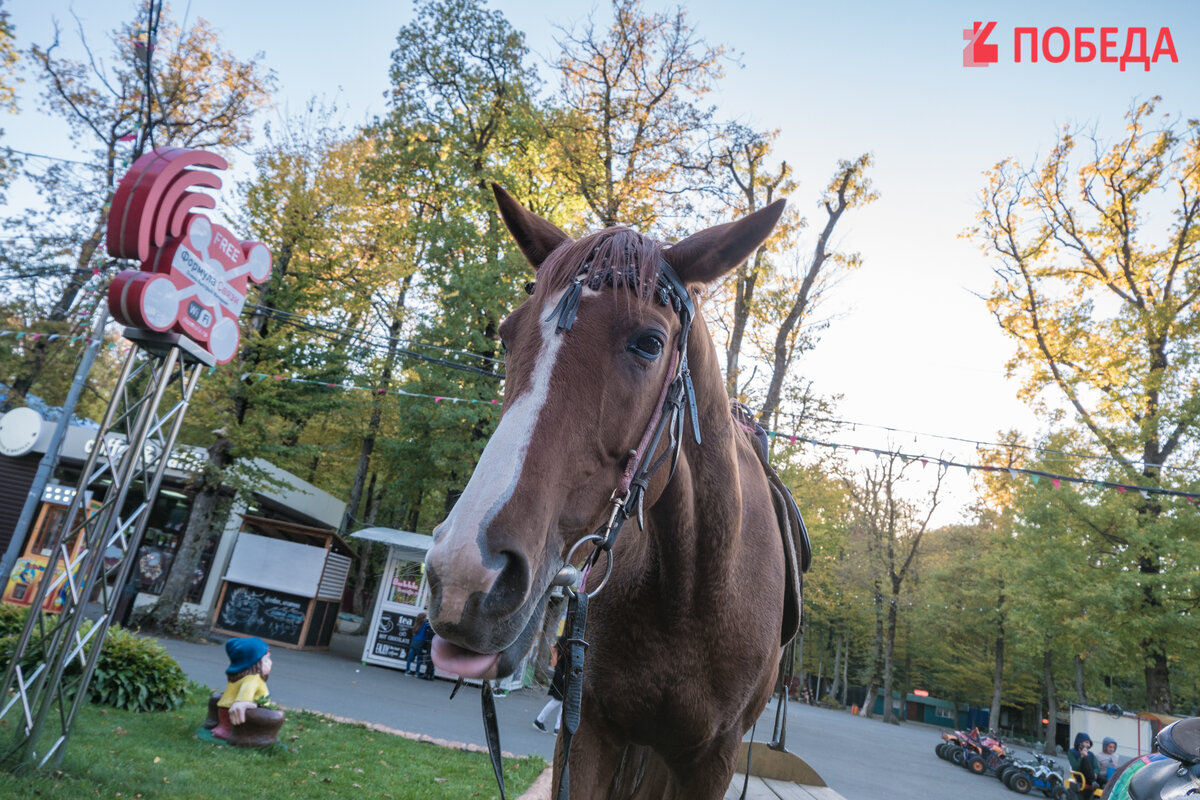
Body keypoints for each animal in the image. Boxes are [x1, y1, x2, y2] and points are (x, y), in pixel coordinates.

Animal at [427, 184, 801, 796]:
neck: (689, 593)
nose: (463, 573)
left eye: (649, 343)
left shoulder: (711, 761)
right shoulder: (588, 731)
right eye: (507, 336)